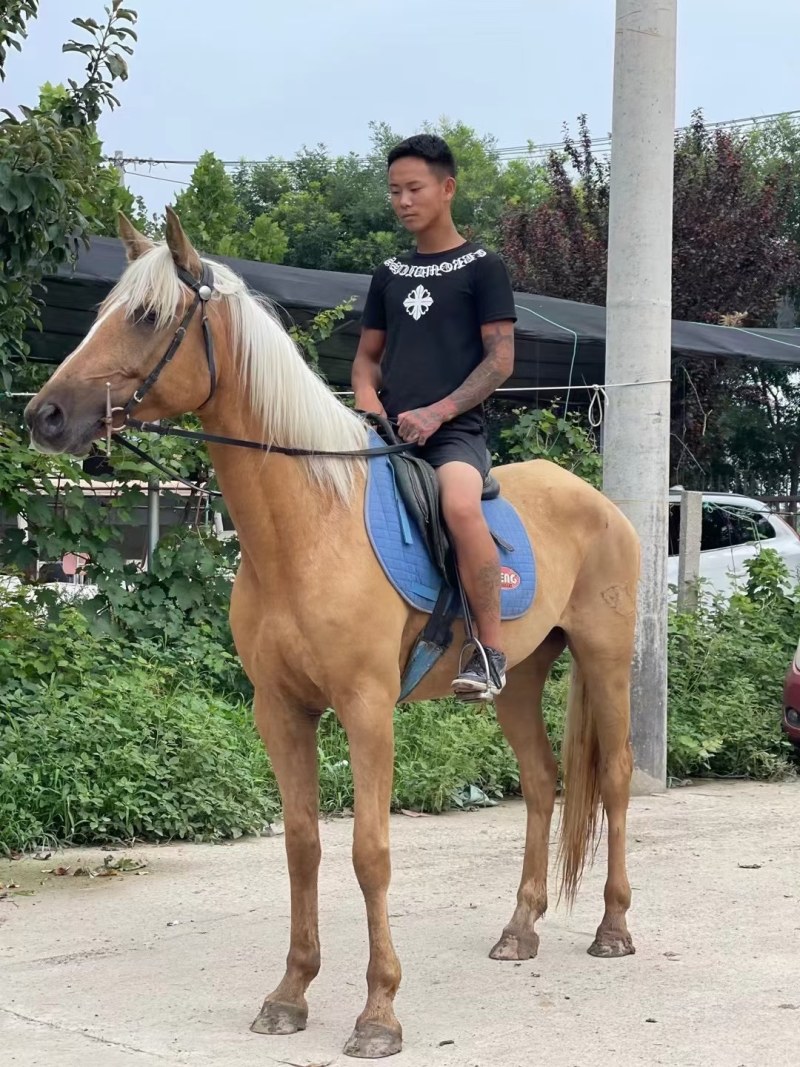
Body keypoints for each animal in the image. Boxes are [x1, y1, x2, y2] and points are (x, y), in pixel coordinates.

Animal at [25, 208, 640, 1060]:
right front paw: (290, 993)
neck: (309, 526)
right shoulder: (281, 710)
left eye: (145, 316)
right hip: (516, 679)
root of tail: (601, 502)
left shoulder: (366, 709)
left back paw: (613, 928)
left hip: (606, 662)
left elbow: (369, 852)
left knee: (612, 779)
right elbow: (303, 844)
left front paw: (378, 1012)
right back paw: (520, 929)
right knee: (545, 783)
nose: (44, 415)